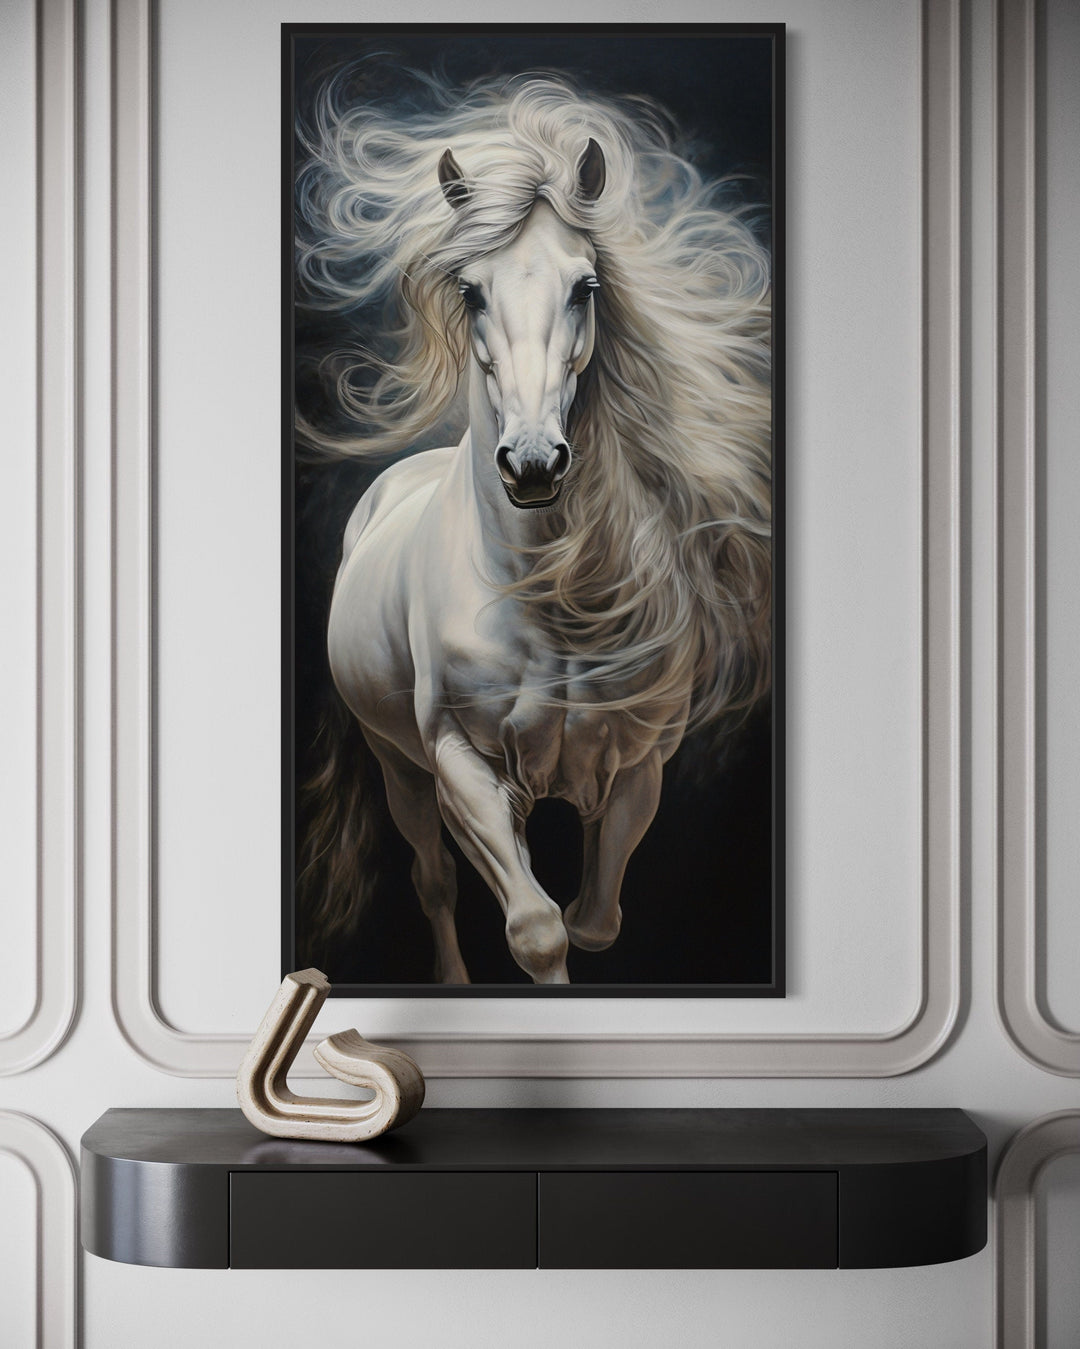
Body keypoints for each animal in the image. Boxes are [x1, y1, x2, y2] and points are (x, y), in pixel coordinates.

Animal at [295, 75, 773, 984]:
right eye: (472, 291)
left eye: (584, 286)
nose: (533, 463)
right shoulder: (458, 762)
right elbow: (537, 929)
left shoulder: (637, 764)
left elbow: (592, 921)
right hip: (401, 767)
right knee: (436, 879)